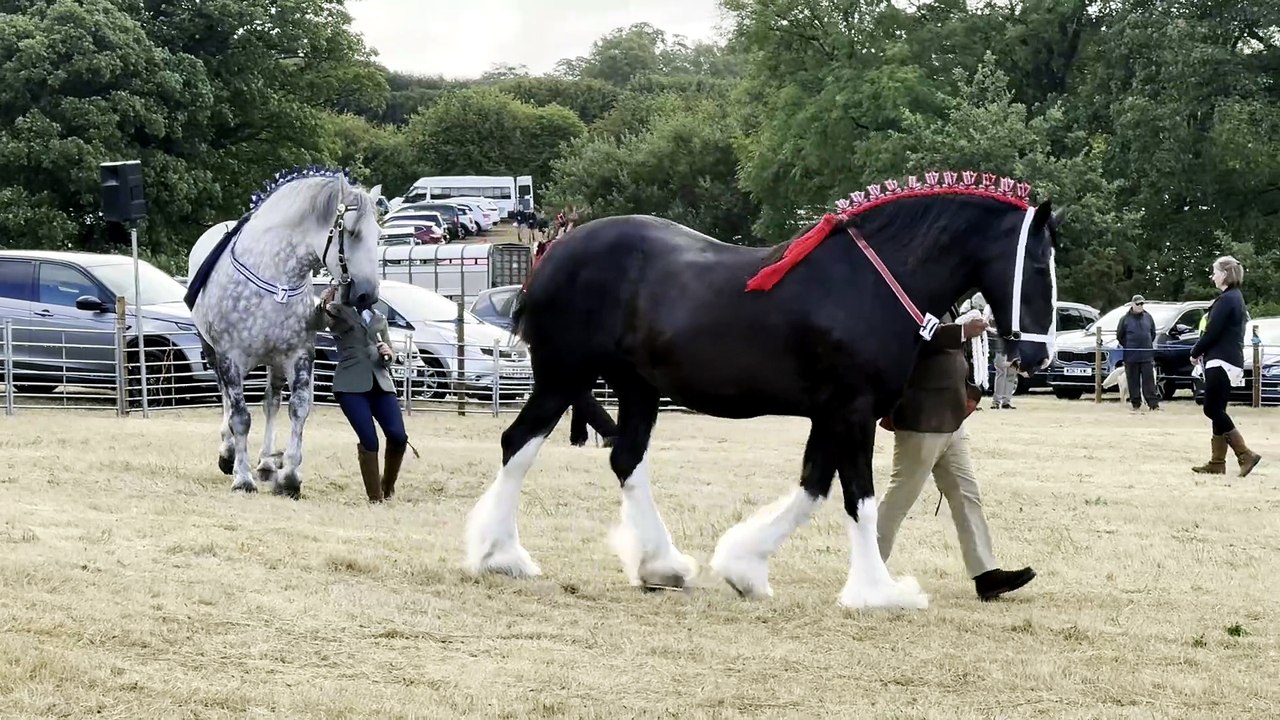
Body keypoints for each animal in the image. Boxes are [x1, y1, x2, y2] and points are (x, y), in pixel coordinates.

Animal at [184, 167, 384, 498]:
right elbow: (240, 416)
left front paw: (289, 476)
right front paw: (242, 478)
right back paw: (228, 453)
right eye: (352, 232)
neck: (274, 281)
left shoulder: (298, 355)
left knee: (271, 401)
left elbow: (297, 409)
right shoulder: (230, 358)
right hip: (214, 354)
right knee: (226, 398)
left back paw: (266, 462)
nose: (368, 295)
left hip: (274, 361)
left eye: (378, 235)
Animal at [463, 170, 1060, 610]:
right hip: (563, 377)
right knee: (519, 443)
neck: (870, 285)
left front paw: (744, 568)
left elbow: (813, 486)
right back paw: (502, 556)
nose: (1039, 357)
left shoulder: (832, 414)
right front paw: (879, 593)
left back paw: (662, 566)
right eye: (1037, 262)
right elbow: (860, 498)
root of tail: (553, 255)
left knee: (626, 459)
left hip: (636, 389)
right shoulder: (854, 411)